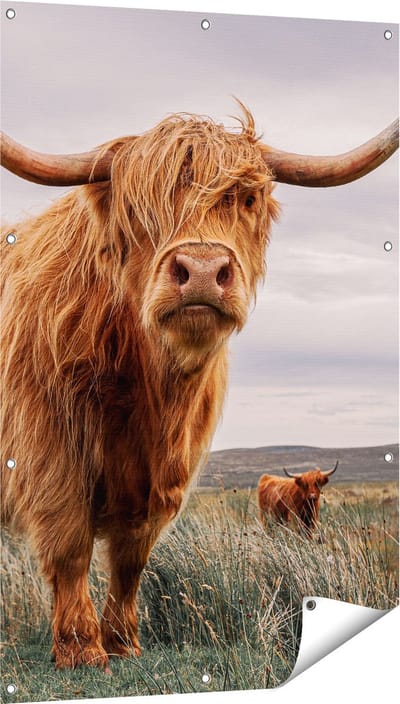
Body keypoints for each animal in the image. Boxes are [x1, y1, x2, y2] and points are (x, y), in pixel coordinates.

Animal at [0, 107, 398, 670]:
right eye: (137, 206)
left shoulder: (164, 472)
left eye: (248, 198)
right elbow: (71, 543)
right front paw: (82, 649)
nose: (204, 271)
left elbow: (132, 557)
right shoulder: (49, 450)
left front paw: (124, 642)